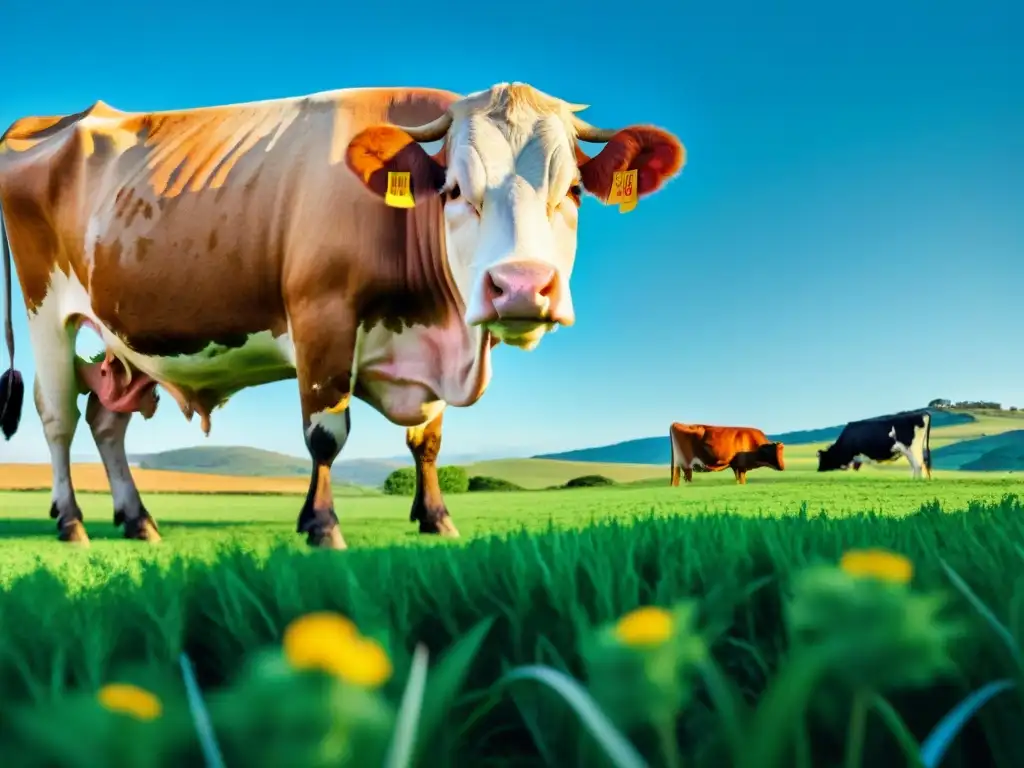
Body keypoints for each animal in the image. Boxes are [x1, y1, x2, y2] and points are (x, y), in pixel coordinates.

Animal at [0, 82, 688, 548]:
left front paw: (436, 518)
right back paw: (72, 522)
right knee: (58, 417)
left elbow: (428, 441)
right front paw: (322, 525)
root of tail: (46, 122)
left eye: (572, 191)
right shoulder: (320, 317)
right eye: (453, 190)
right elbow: (326, 433)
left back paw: (138, 520)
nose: (519, 287)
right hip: (46, 310)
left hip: (122, 337)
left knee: (105, 419)